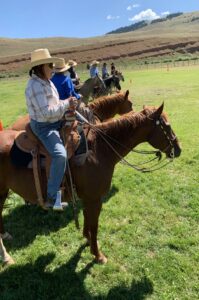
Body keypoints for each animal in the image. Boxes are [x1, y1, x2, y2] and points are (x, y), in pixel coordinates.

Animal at [0, 103, 180, 264]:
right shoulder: (95, 199)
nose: (178, 149)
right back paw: (6, 257)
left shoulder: (88, 199)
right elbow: (94, 226)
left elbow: (87, 220)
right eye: (168, 125)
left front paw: (87, 239)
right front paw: (98, 255)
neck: (100, 149)